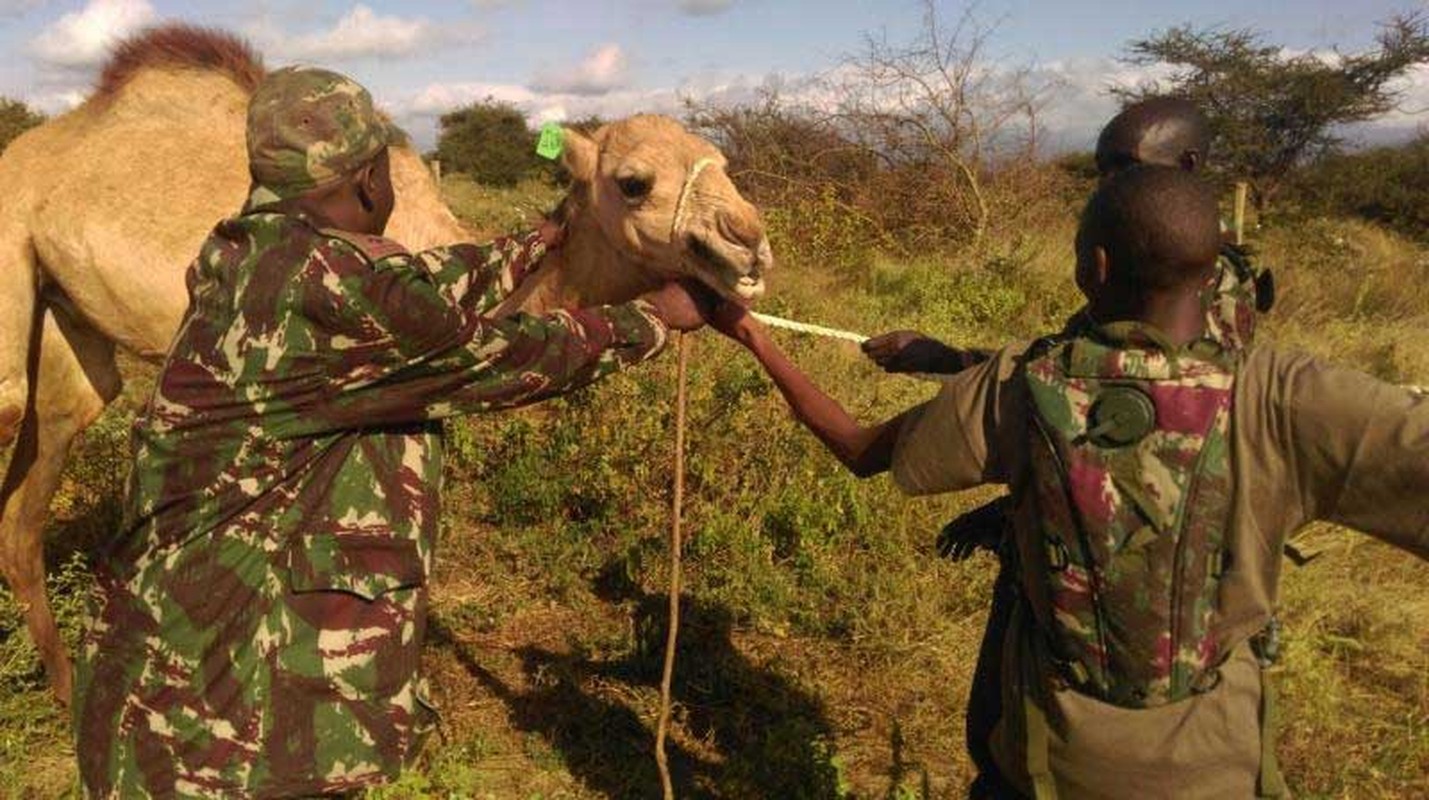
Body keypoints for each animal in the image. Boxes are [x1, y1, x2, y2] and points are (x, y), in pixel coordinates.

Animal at [0, 21, 771, 702]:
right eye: (634, 182)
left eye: (725, 164)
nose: (747, 241)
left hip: (68, 335)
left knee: (26, 507)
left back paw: (66, 688)